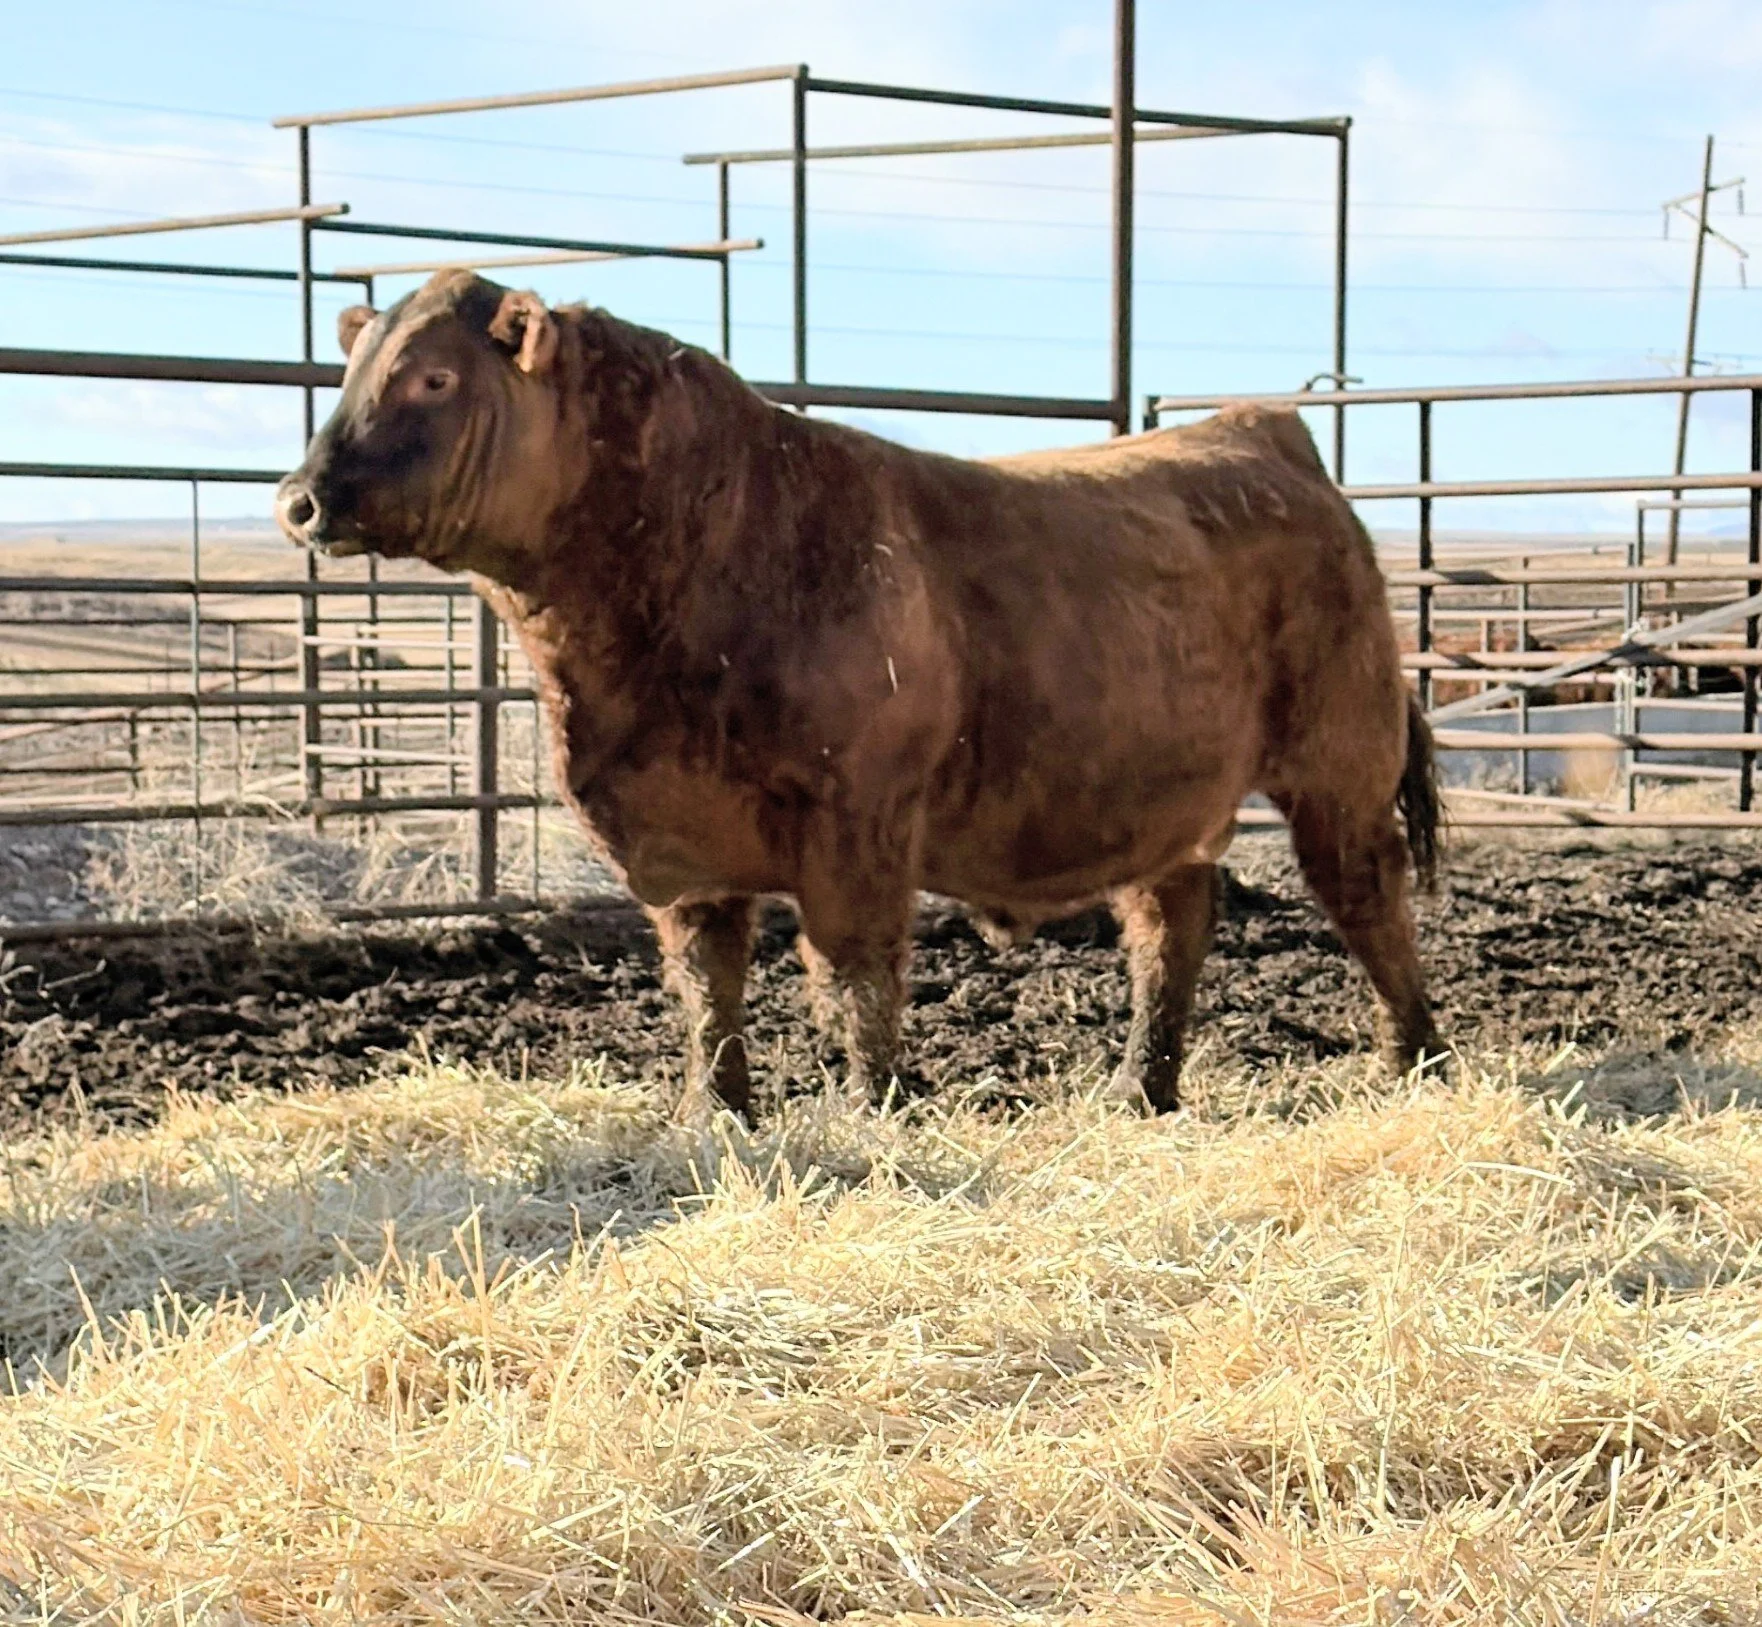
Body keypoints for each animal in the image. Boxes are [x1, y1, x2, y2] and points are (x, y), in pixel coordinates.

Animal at [276, 270, 1444, 1120]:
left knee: (1366, 896)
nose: (299, 498)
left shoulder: (858, 821)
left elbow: (851, 971)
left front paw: (875, 1107)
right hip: (1165, 794)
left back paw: (1413, 1061)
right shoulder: (684, 845)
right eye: (356, 369)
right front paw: (715, 1115)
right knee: (1171, 922)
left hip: (1339, 762)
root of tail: (1262, 433)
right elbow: (706, 985)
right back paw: (1139, 1089)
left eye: (432, 379)